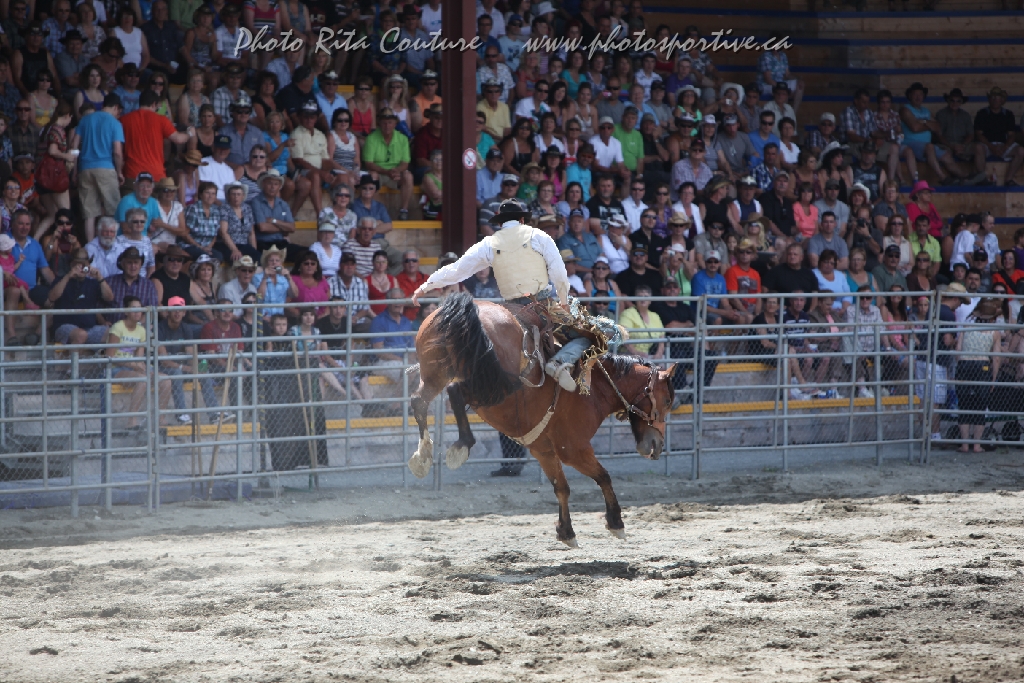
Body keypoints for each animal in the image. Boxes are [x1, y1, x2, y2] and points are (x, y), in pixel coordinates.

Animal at [407, 292, 679, 547]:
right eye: (667, 401)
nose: (657, 446)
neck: (597, 387)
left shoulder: (544, 450)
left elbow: (561, 487)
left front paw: (566, 531)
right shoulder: (574, 449)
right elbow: (603, 476)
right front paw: (616, 523)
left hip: (436, 372)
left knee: (419, 400)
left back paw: (423, 455)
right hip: (494, 386)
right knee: (454, 391)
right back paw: (460, 446)